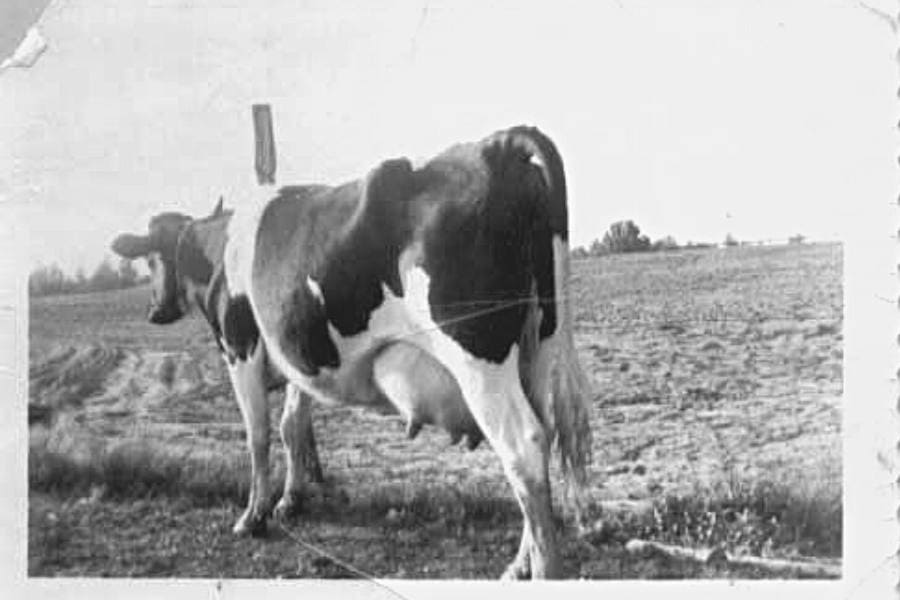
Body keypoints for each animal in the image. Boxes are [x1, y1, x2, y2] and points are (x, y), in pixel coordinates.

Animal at [110, 125, 592, 576]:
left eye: (151, 259)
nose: (154, 311)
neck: (221, 244)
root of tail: (497, 144)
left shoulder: (239, 345)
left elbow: (258, 434)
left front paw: (253, 516)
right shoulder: (300, 351)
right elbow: (292, 425)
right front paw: (290, 501)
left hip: (478, 359)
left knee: (523, 447)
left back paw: (542, 569)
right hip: (538, 348)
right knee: (543, 439)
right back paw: (520, 564)